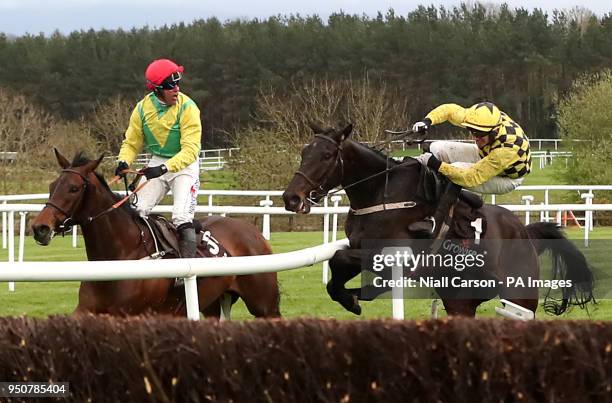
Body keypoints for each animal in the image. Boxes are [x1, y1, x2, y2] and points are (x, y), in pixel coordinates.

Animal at [32, 150, 280, 320]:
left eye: (74, 188)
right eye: (52, 185)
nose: (39, 228)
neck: (122, 254)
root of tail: (253, 232)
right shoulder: (87, 309)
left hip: (264, 304)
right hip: (211, 304)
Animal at [282, 124, 592, 318]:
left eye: (326, 155)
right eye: (303, 152)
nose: (291, 198)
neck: (381, 192)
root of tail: (525, 233)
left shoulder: (396, 255)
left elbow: (339, 259)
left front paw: (354, 297)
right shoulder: (362, 249)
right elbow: (337, 266)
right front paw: (352, 297)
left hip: (520, 294)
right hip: (460, 299)